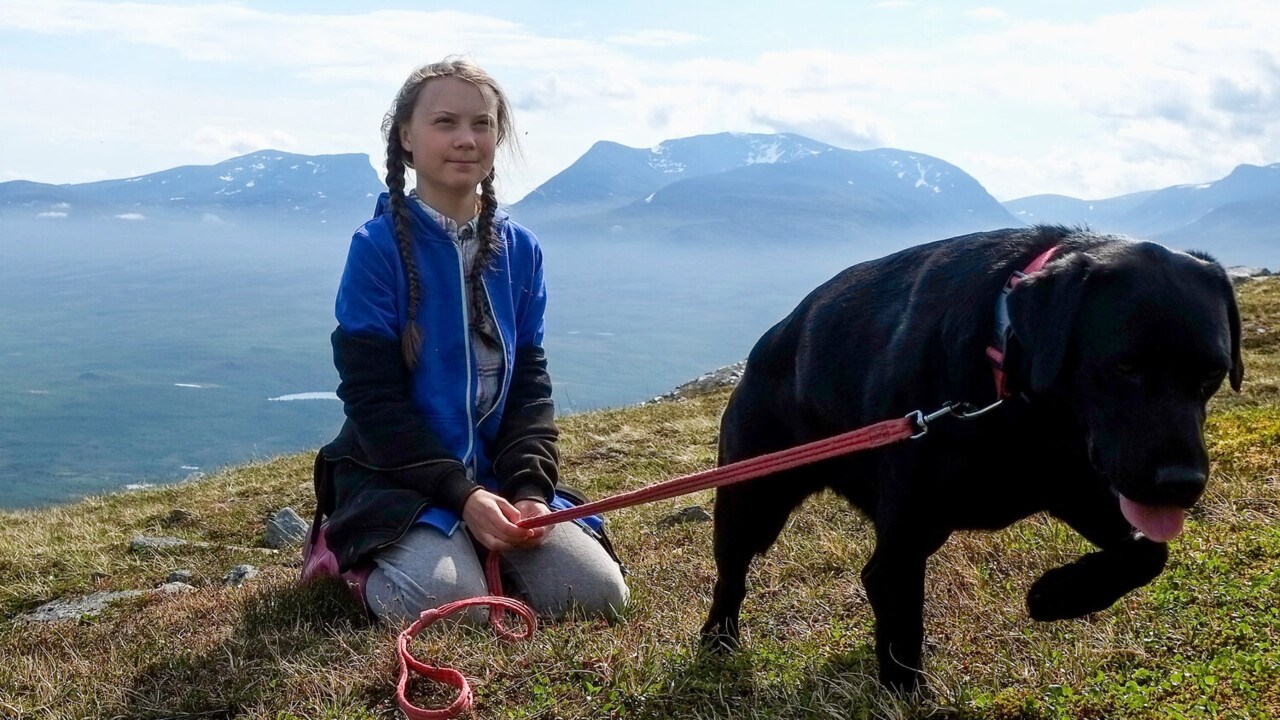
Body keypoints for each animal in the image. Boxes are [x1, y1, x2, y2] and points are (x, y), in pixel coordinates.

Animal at [701, 224, 1239, 691]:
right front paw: (906, 690)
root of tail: (763, 348)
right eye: (1124, 367)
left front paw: (1057, 595)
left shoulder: (1074, 486)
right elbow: (901, 627)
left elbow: (1149, 551)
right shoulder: (903, 540)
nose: (1183, 484)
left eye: (1214, 373)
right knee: (733, 576)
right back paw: (717, 641)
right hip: (751, 501)